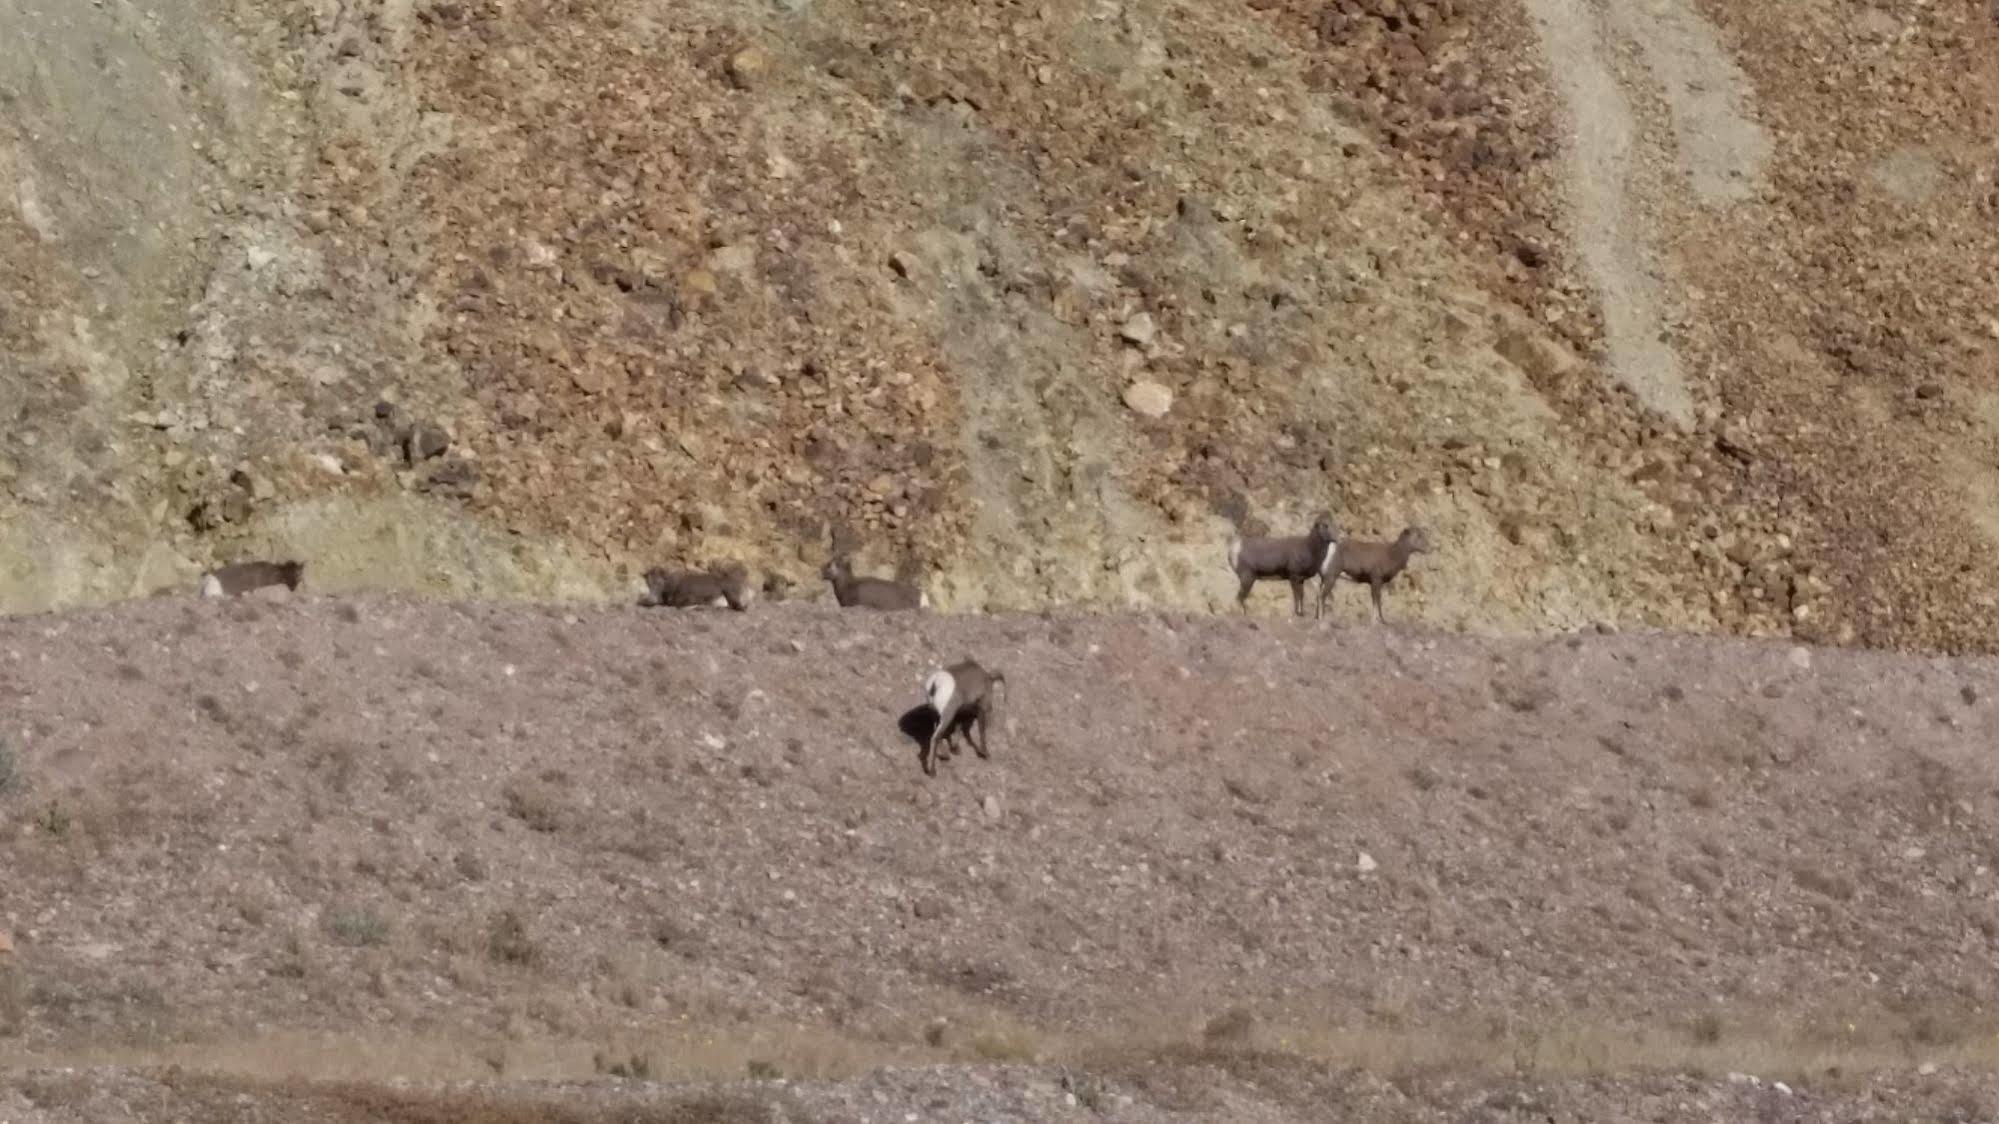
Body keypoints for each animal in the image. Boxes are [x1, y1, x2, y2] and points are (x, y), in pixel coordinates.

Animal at [1215, 512, 1343, 616]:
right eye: (1325, 525)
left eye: (1335, 524)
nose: (1337, 538)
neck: (1310, 548)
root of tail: (1235, 549)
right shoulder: (1294, 577)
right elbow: (1297, 595)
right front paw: (1297, 613)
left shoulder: (1301, 580)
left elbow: (1301, 595)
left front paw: (1301, 613)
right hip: (1248, 579)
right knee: (1240, 597)